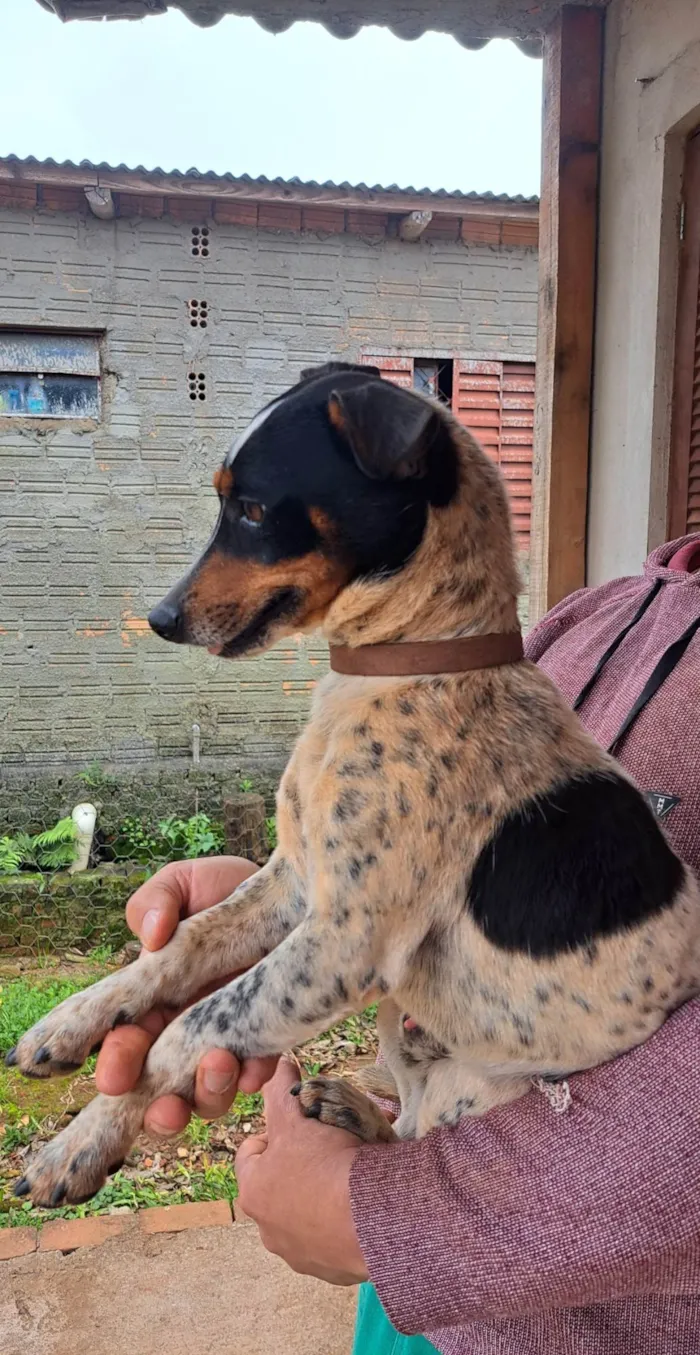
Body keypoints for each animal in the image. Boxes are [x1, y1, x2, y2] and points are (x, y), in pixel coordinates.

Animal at [9, 363, 698, 1208]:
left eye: (253, 508)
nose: (161, 618)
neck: (402, 668)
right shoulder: (295, 883)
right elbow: (182, 944)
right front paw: (73, 1022)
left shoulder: (339, 945)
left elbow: (189, 1025)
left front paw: (83, 1139)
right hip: (399, 1017)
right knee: (405, 1106)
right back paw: (347, 1105)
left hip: (474, 1078)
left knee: (416, 1129)